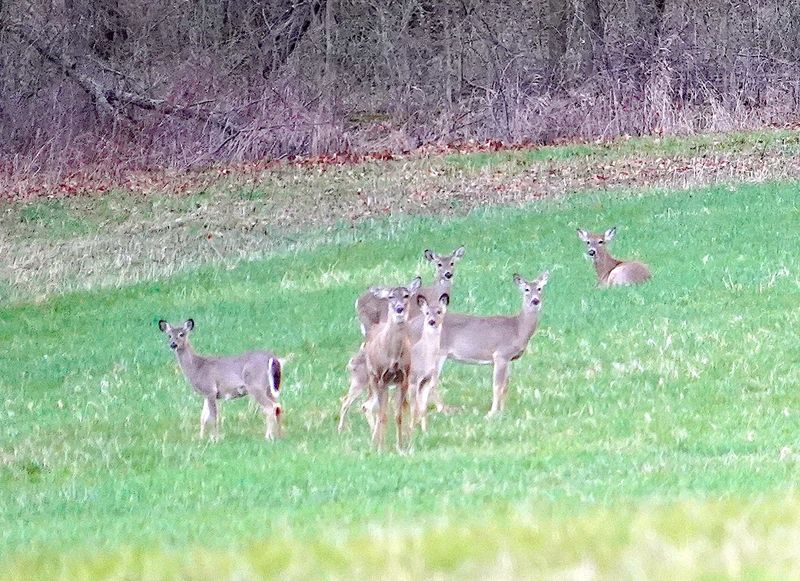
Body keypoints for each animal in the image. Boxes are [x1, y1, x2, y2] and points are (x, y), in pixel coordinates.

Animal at [349, 277, 420, 451]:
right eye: (390, 297)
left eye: (407, 295)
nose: (399, 308)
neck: (392, 356)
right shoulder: (381, 378)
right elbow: (382, 414)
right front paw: (381, 447)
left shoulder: (403, 378)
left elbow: (398, 414)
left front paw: (400, 445)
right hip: (373, 378)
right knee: (371, 407)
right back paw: (375, 441)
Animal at [408, 293, 449, 434]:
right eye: (426, 313)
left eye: (439, 311)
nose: (431, 321)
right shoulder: (413, 378)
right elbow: (414, 406)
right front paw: (411, 430)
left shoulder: (426, 380)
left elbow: (423, 408)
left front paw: (425, 431)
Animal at [411, 272, 549, 417]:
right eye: (526, 289)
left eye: (539, 288)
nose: (535, 300)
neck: (518, 328)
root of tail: (410, 325)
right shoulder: (500, 354)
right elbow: (497, 386)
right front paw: (492, 413)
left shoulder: (509, 358)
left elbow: (505, 385)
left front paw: (503, 411)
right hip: (436, 353)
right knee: (431, 381)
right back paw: (442, 409)